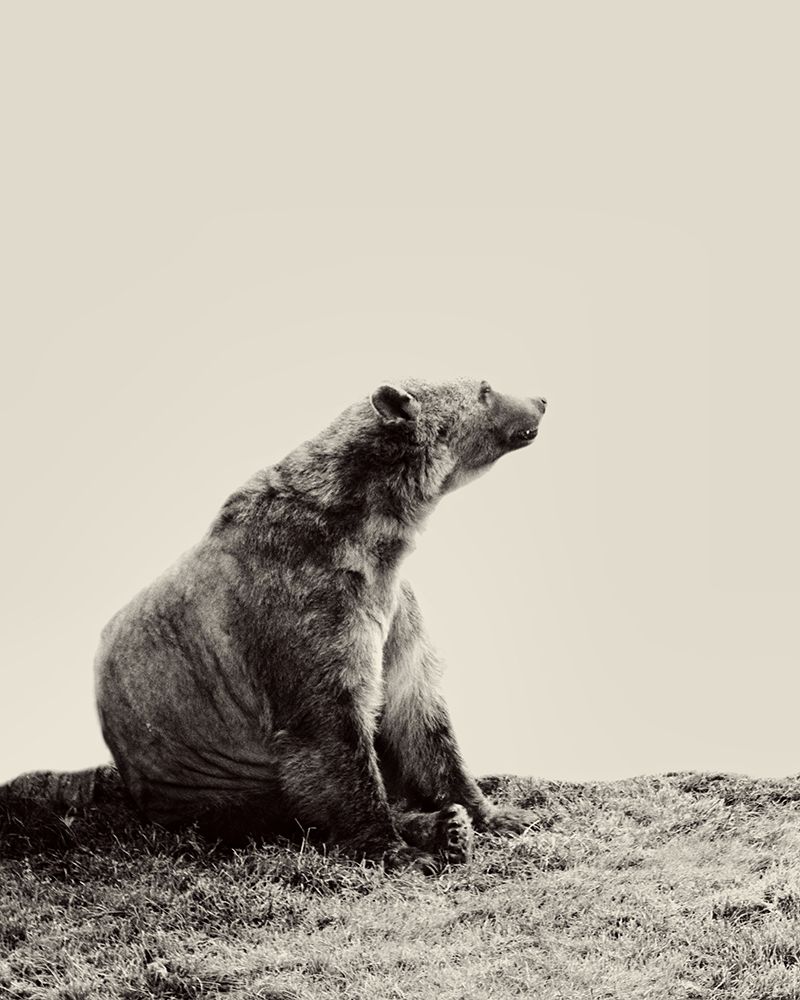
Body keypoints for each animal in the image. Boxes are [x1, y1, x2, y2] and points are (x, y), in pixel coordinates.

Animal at [85, 377, 546, 871]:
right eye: (486, 388)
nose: (541, 399)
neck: (370, 535)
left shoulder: (394, 606)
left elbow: (419, 707)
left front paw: (496, 813)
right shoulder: (307, 602)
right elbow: (332, 723)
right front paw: (395, 847)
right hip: (206, 780)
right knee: (278, 811)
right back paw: (437, 829)